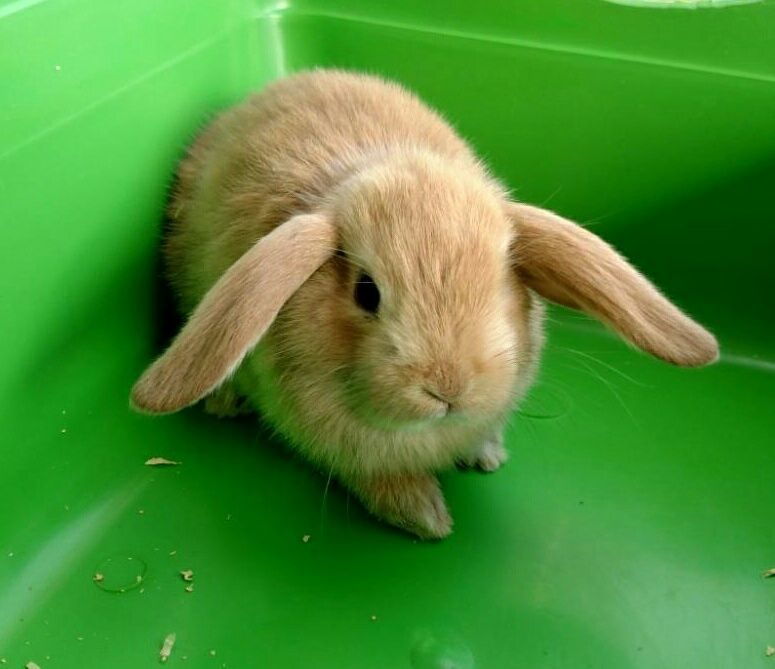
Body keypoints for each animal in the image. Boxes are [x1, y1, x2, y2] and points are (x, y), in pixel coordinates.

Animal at [131, 69, 718, 539]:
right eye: (366, 291)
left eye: (499, 278)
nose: (448, 388)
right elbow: (381, 481)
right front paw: (429, 520)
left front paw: (487, 456)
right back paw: (223, 401)